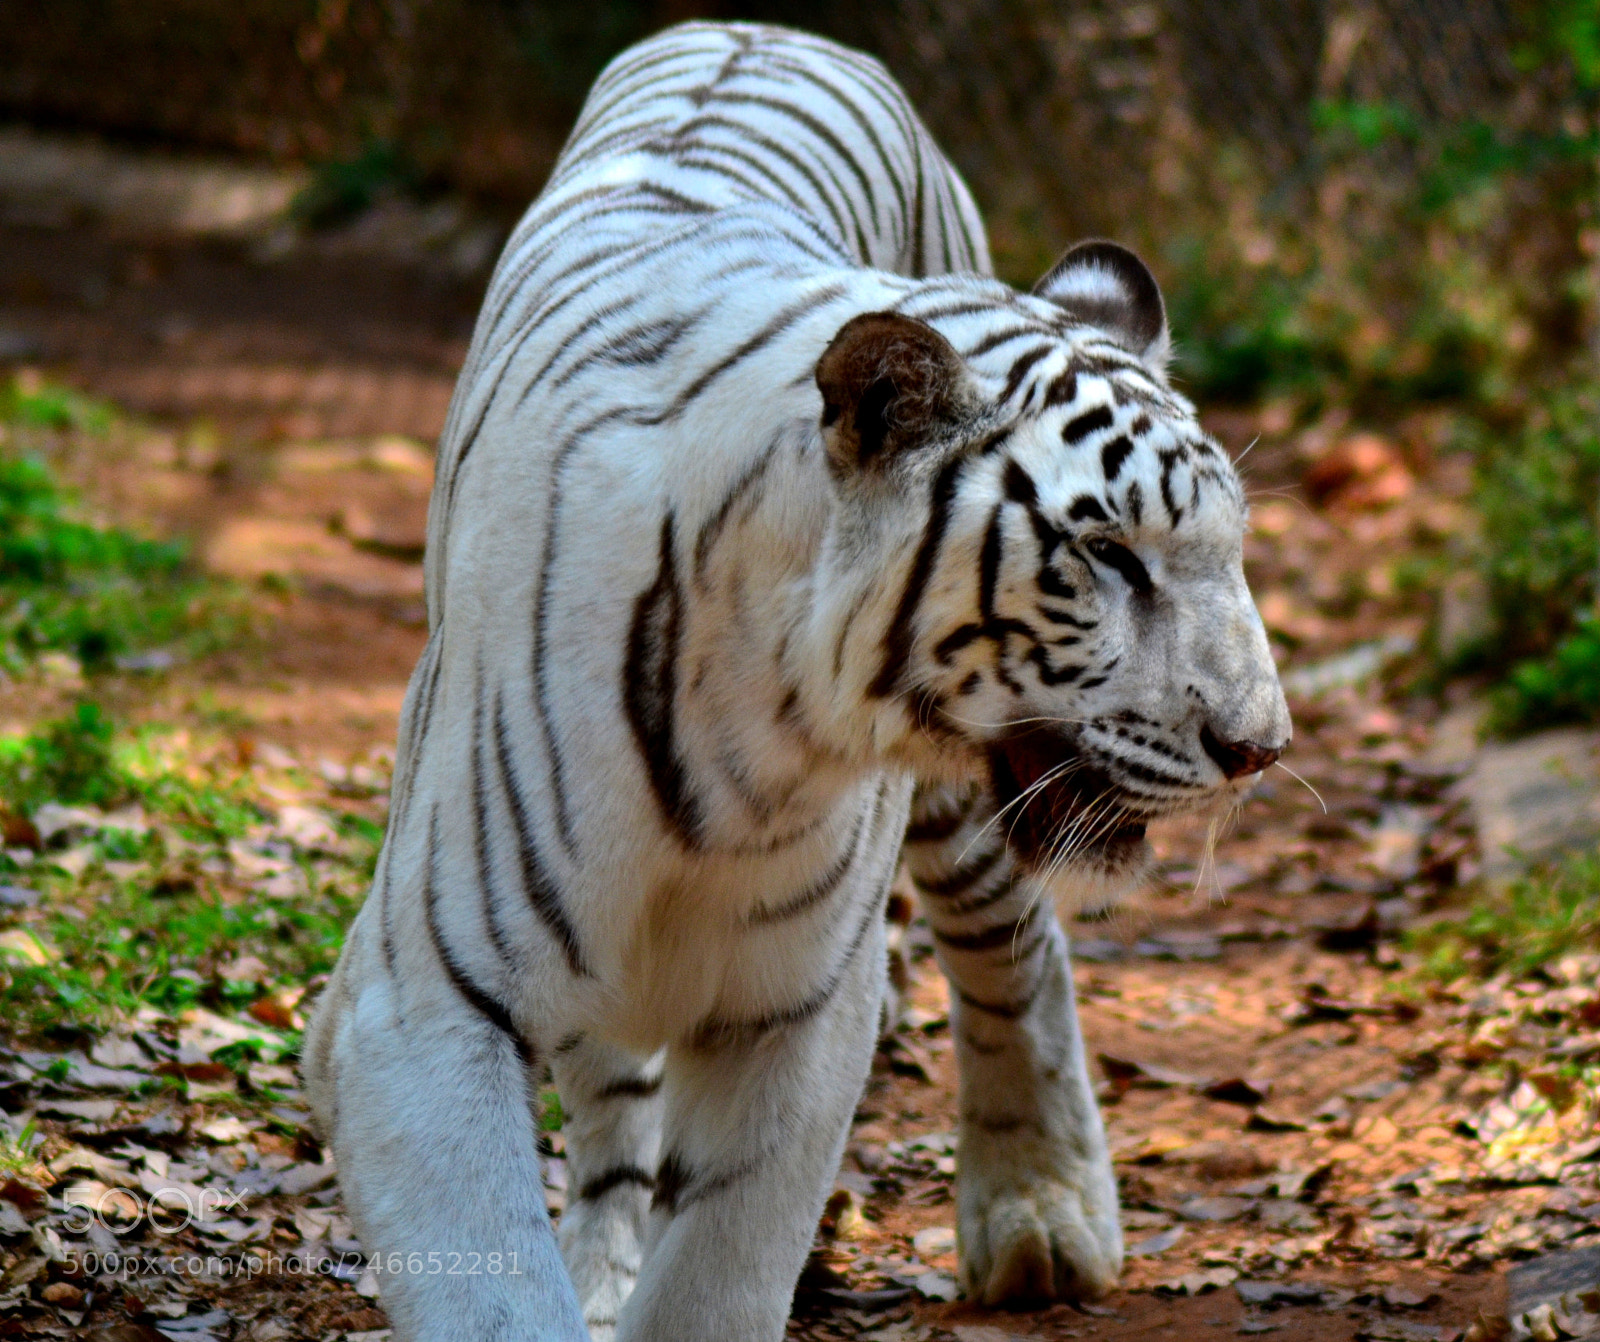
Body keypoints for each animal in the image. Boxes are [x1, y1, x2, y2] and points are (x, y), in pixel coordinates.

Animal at [302, 20, 1290, 1342]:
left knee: (1014, 953)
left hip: (966, 820)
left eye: (1227, 550)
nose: (1261, 747)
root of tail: (758, 28)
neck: (763, 731)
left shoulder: (800, 1011)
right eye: (1108, 554)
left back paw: (1042, 1219)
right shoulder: (425, 1000)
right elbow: (502, 1283)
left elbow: (719, 1275)